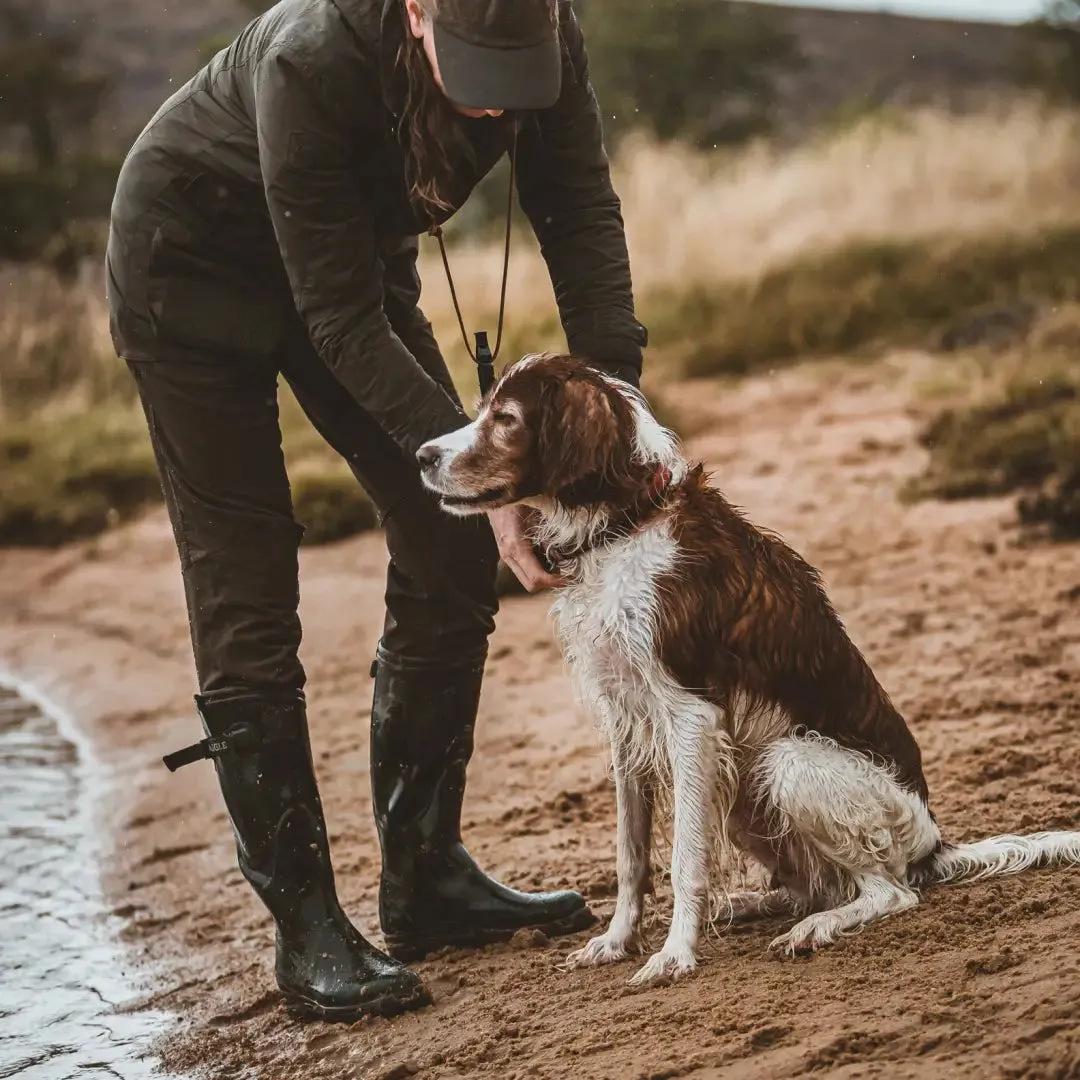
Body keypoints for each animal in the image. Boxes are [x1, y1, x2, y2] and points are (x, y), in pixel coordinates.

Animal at [414, 354, 1080, 989]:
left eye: (507, 420)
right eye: (484, 409)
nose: (421, 455)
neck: (626, 522)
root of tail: (934, 845)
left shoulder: (690, 717)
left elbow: (684, 859)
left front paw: (674, 955)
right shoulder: (626, 721)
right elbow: (631, 854)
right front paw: (616, 940)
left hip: (785, 763)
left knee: (890, 892)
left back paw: (814, 927)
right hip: (742, 789)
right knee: (819, 883)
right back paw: (752, 905)